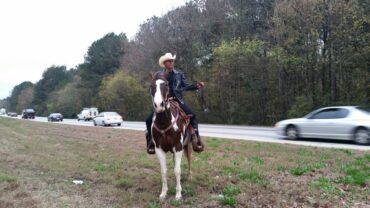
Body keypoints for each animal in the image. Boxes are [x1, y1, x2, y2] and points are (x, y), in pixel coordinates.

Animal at [149, 72, 192, 201]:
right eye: (151, 86)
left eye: (166, 85)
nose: (159, 105)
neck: (164, 122)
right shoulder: (159, 149)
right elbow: (164, 171)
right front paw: (163, 193)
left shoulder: (178, 147)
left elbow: (177, 170)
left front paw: (178, 194)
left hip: (187, 146)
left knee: (189, 159)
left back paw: (189, 176)